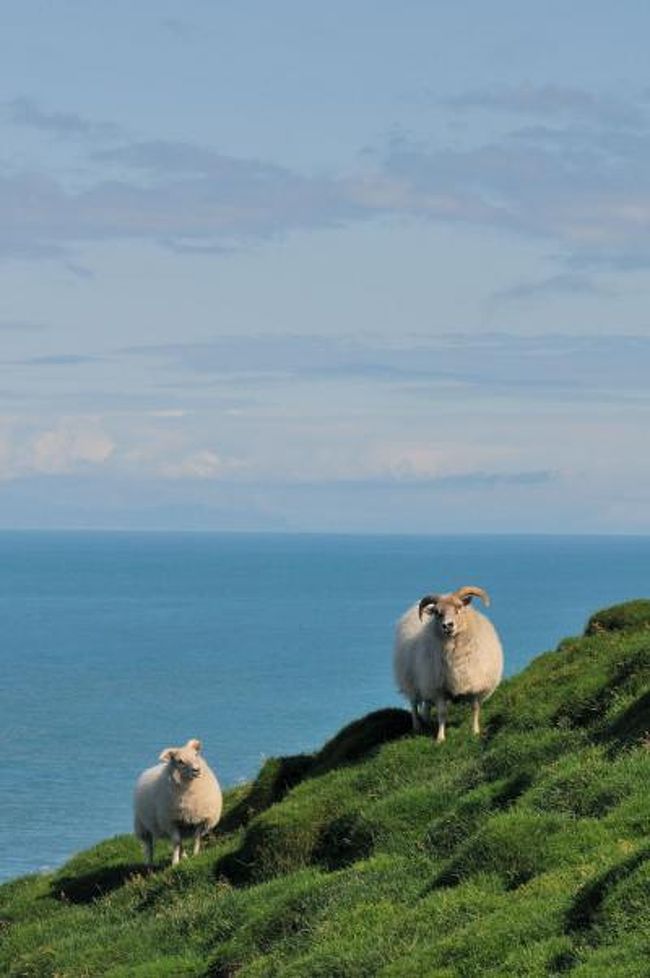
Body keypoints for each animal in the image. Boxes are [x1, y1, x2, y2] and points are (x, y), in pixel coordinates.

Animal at [132, 736, 223, 864]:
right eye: (180, 761)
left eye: (196, 754)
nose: (196, 770)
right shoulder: (171, 821)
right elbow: (176, 842)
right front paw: (175, 862)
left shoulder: (200, 819)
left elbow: (195, 838)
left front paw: (195, 855)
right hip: (142, 824)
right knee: (149, 845)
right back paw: (149, 863)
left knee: (181, 843)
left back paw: (184, 857)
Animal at [392, 588, 504, 740]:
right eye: (438, 613)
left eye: (459, 607)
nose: (447, 626)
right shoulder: (439, 688)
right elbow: (442, 713)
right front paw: (440, 738)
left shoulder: (475, 684)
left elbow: (475, 708)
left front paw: (475, 731)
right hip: (411, 680)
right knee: (414, 704)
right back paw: (417, 727)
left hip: (425, 680)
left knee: (426, 703)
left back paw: (427, 721)